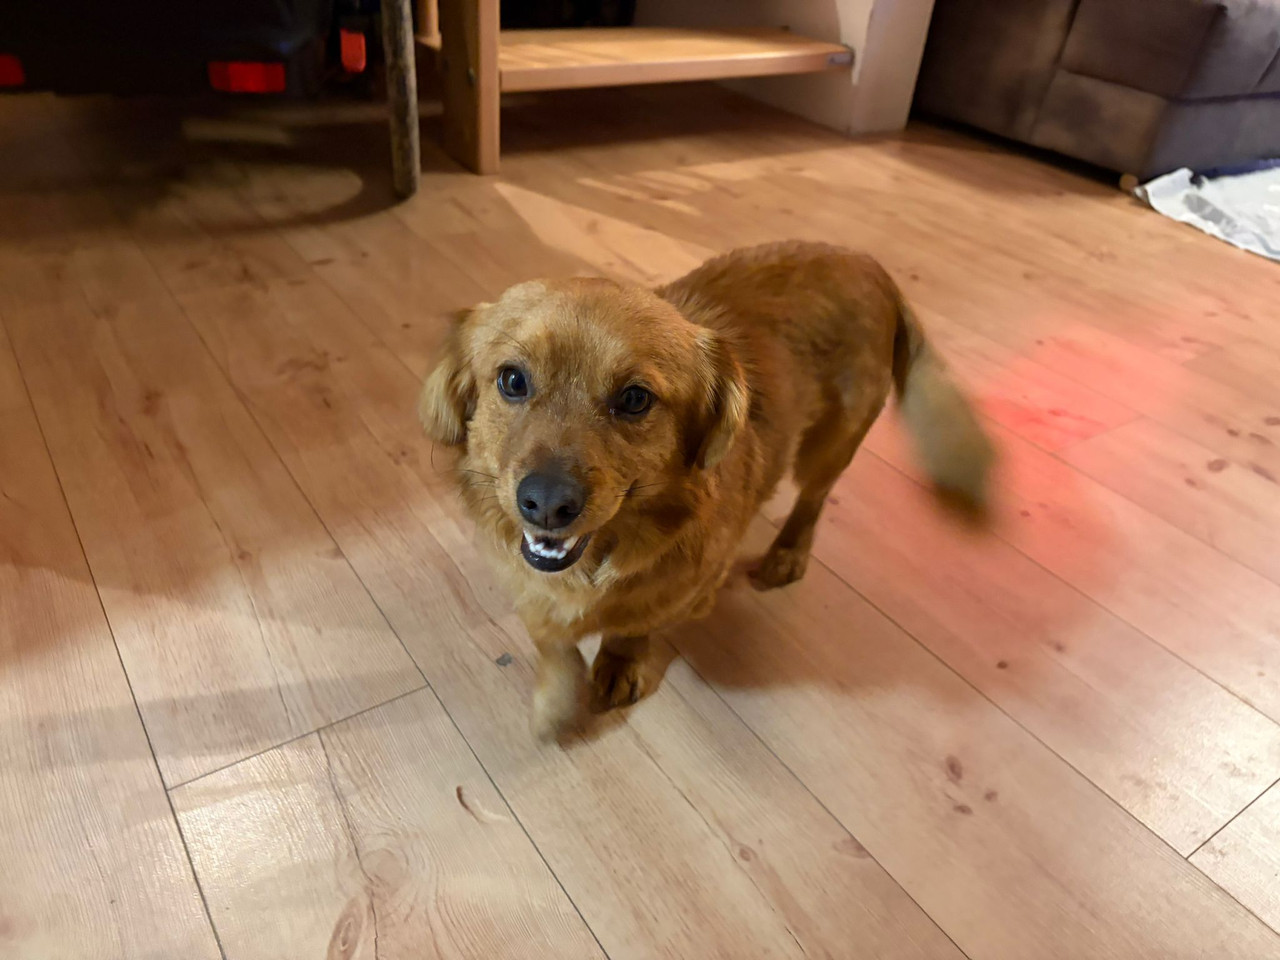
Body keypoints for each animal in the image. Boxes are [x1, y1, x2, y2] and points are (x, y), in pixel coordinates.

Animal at [419, 241, 994, 740]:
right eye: (512, 380)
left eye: (635, 399)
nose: (546, 505)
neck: (606, 554)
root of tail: (872, 265)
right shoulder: (529, 583)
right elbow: (551, 642)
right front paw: (557, 700)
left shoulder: (684, 590)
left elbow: (634, 626)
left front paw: (617, 661)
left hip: (829, 445)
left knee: (812, 500)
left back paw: (787, 553)